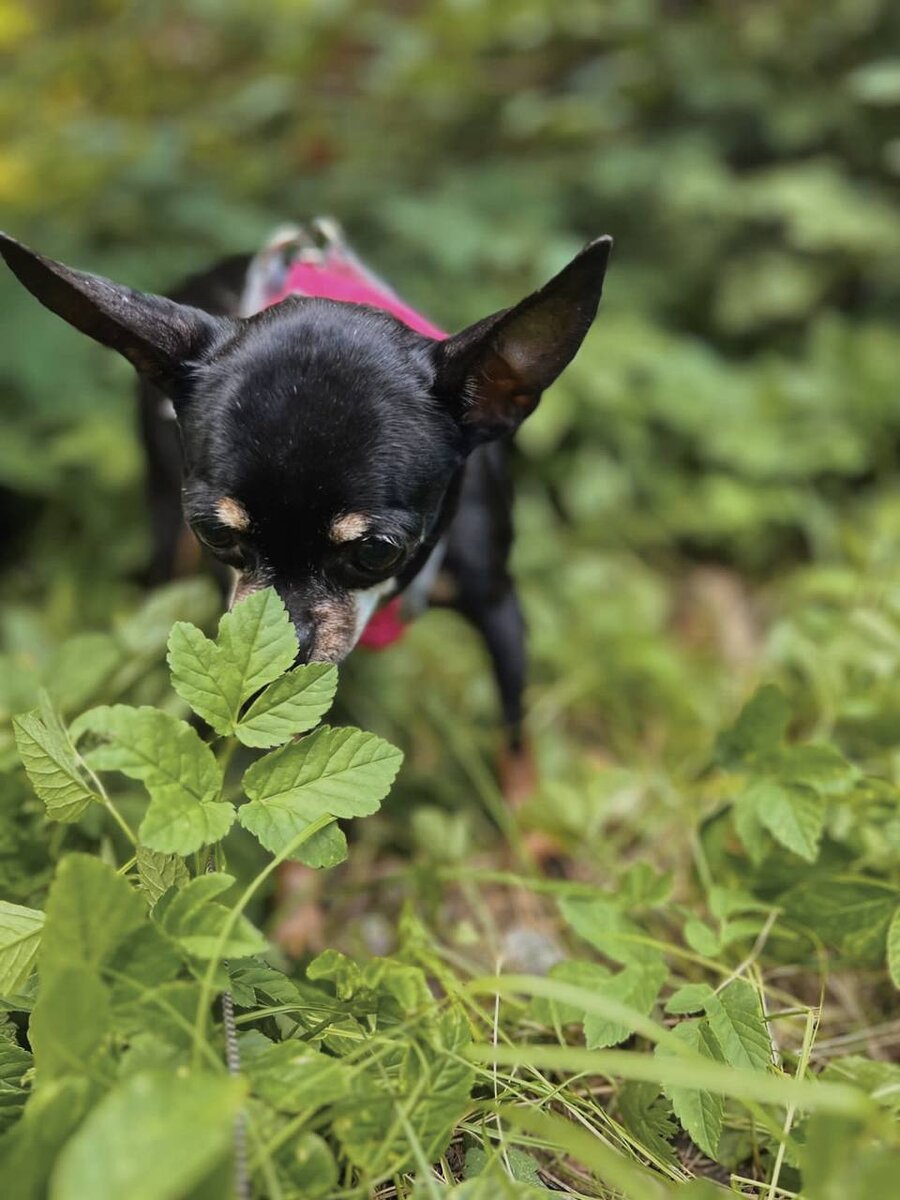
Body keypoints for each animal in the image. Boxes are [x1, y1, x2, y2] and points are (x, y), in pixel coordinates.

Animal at [0, 220, 614, 945]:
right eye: (217, 535)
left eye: (375, 550)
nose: (280, 651)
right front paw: (298, 921)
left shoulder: (499, 606)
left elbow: (514, 730)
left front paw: (532, 834)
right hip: (163, 539)